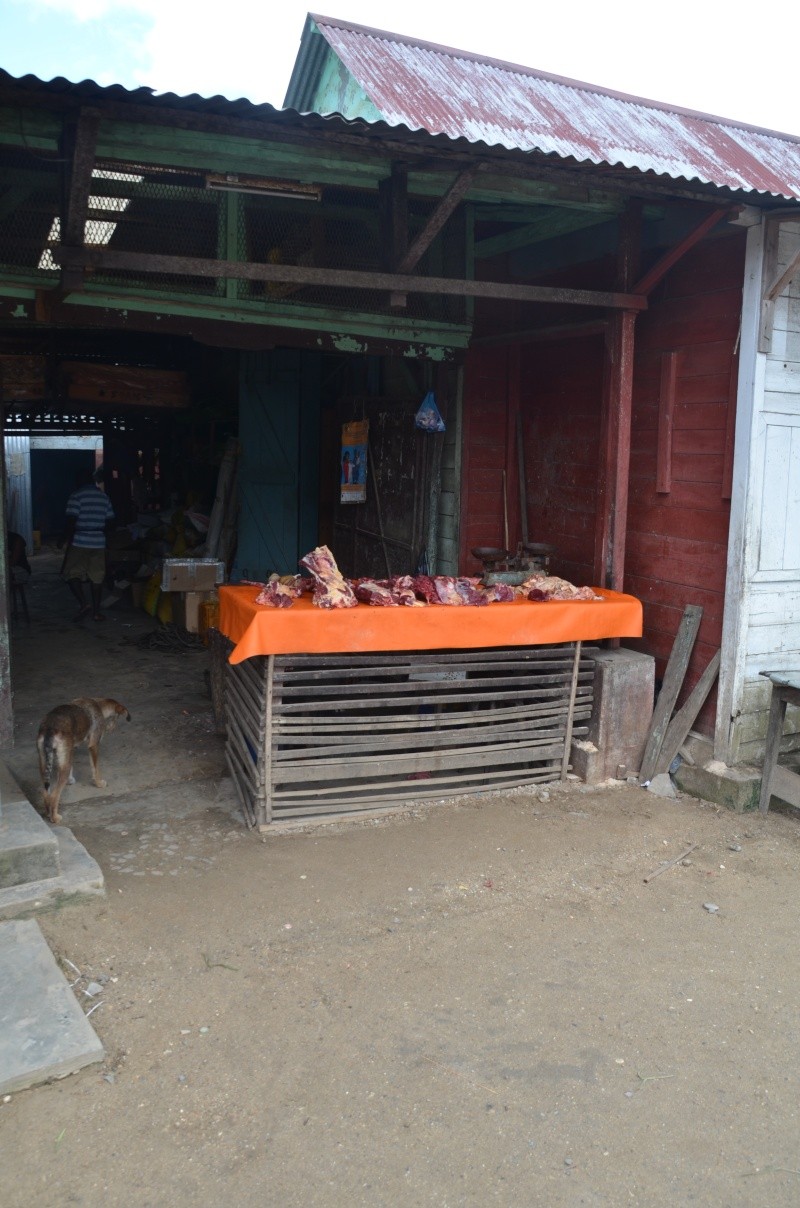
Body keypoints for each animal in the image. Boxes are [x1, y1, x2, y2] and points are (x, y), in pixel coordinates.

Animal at [37, 695, 131, 826]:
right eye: (116, 717)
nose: (110, 729)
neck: (98, 704)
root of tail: (50, 728)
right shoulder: (93, 745)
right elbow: (95, 768)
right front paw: (98, 783)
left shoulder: (72, 748)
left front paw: (71, 780)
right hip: (62, 768)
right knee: (54, 795)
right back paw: (55, 818)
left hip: (43, 762)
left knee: (46, 792)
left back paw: (48, 813)